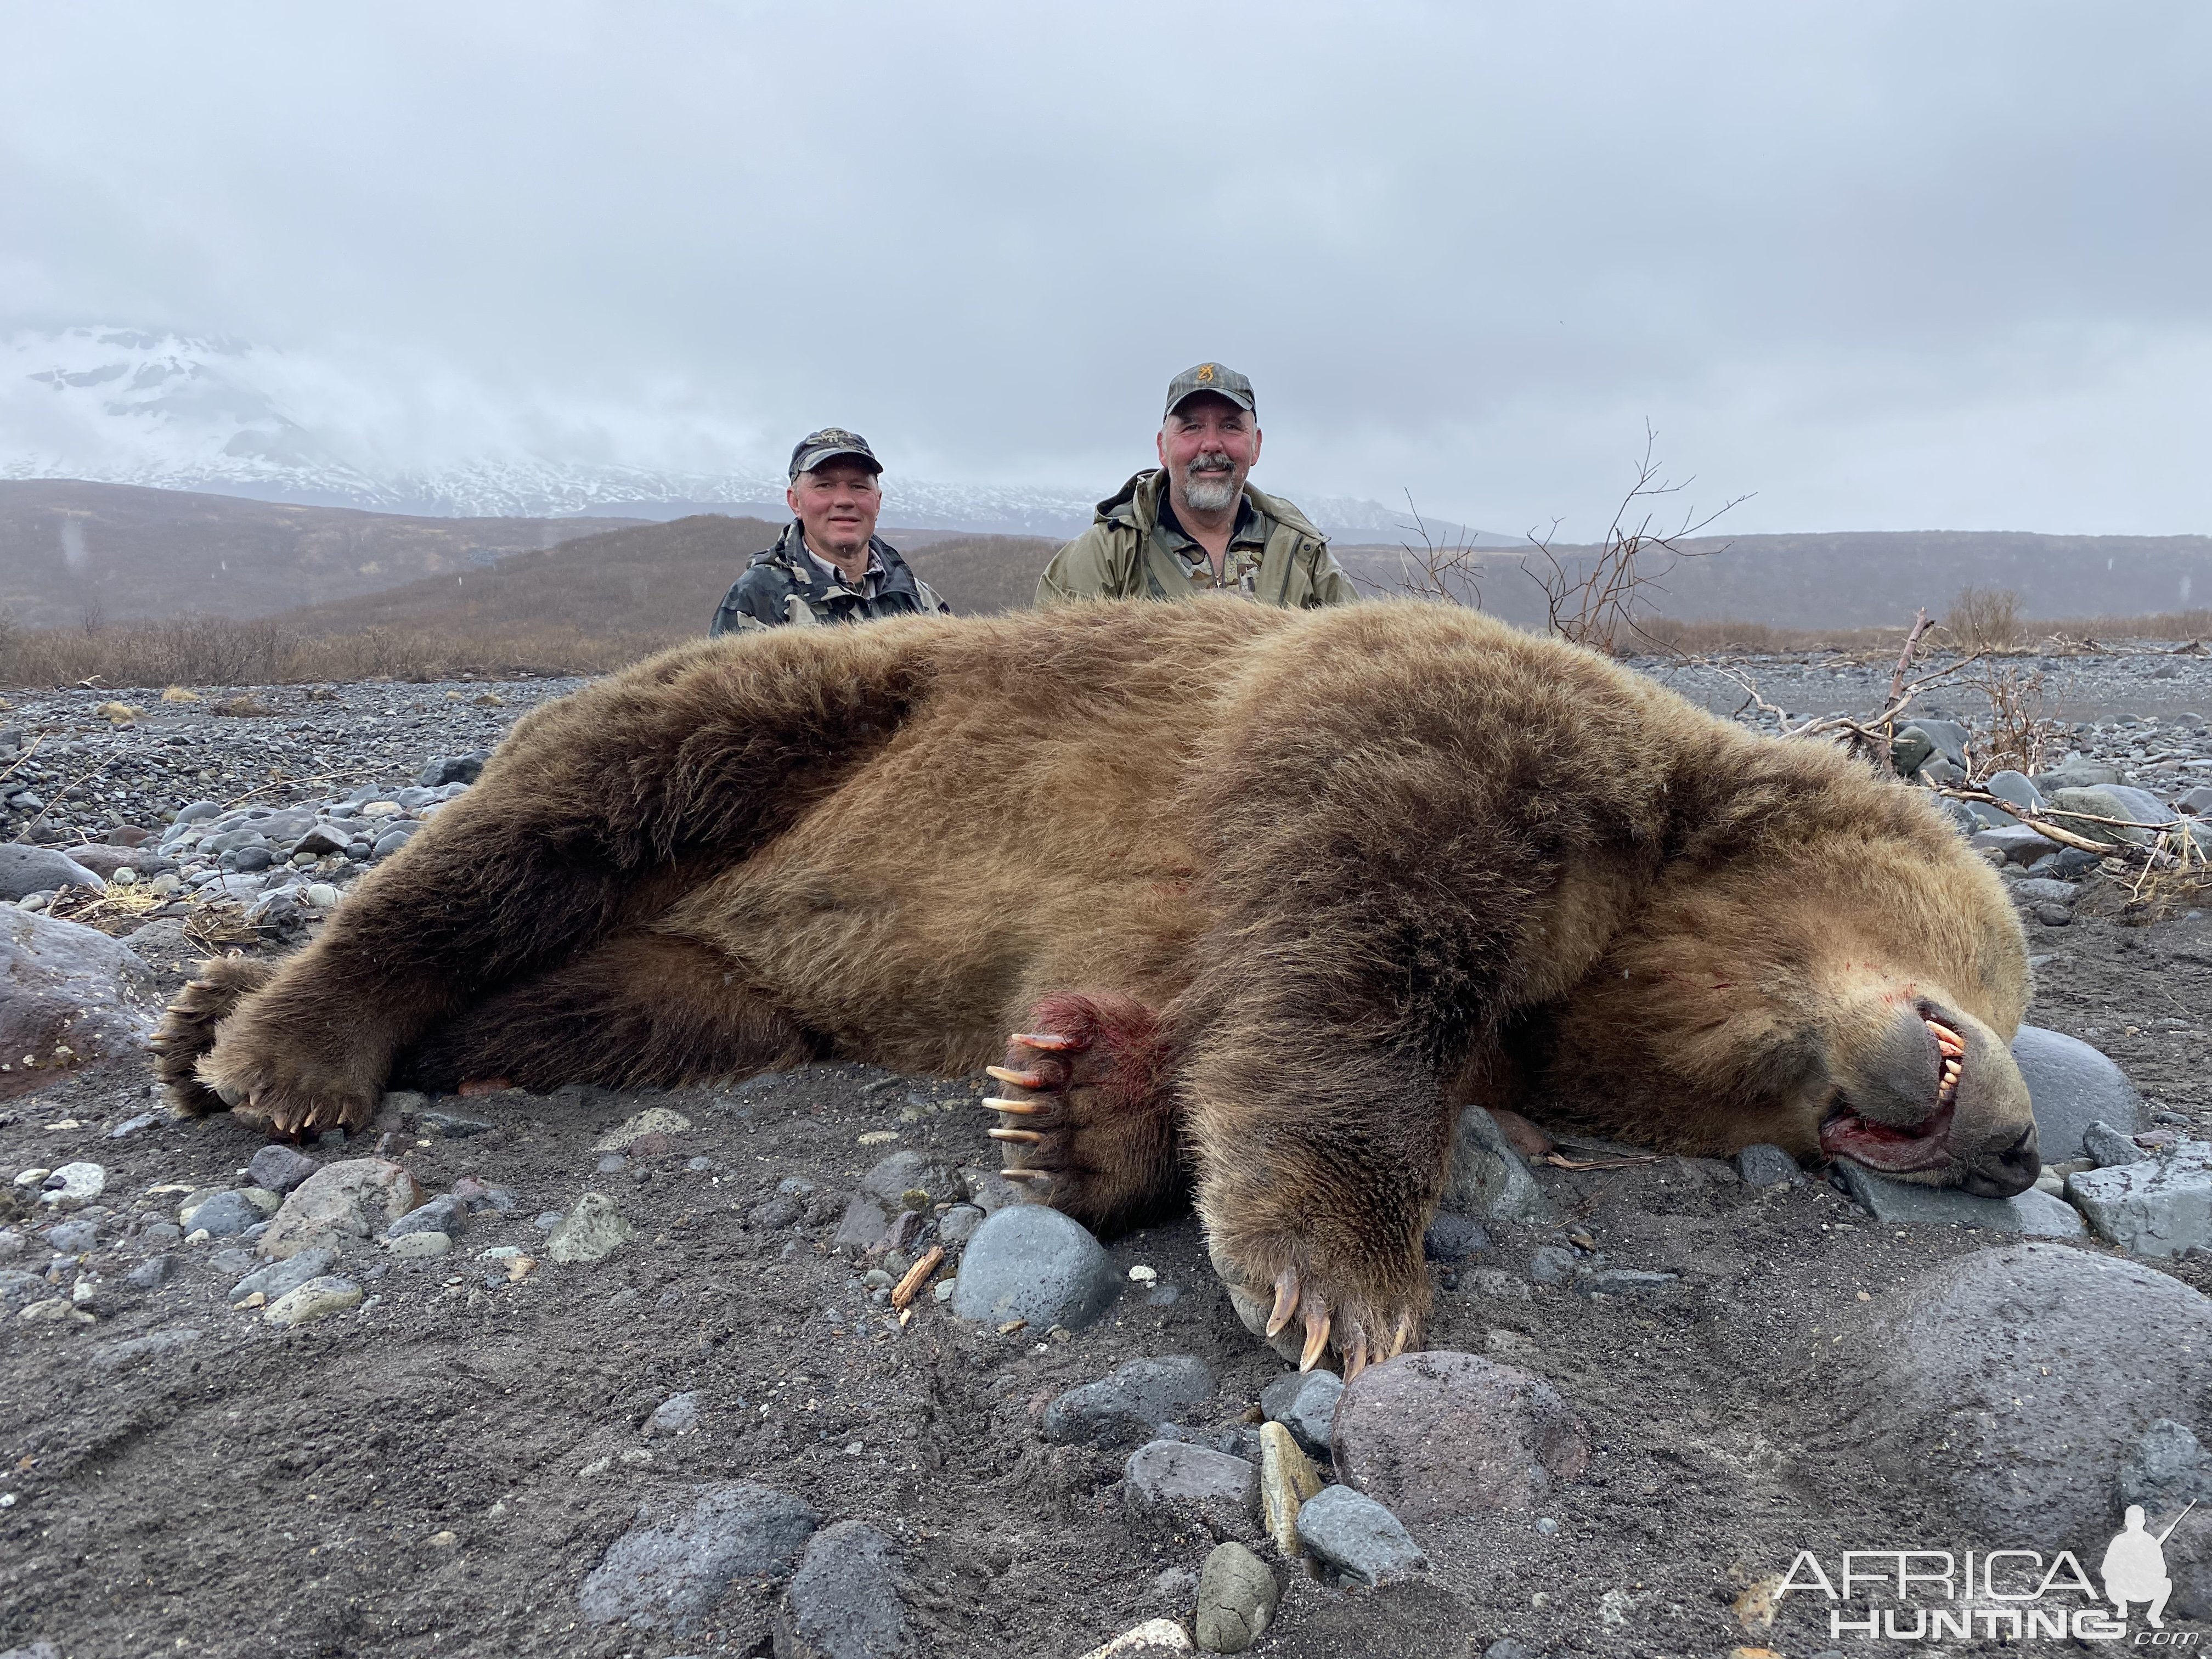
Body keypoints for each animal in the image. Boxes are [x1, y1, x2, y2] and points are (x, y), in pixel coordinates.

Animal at [151, 597, 2035, 1380]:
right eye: (2003, 981)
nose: (2019, 1141)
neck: (1636, 904)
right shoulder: (1424, 730)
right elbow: (1358, 946)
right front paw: (1342, 1273)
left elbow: (1184, 1007)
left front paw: (1068, 1108)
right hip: (812, 714)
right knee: (556, 815)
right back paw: (278, 1036)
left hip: (712, 983)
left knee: (601, 999)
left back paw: (220, 1018)